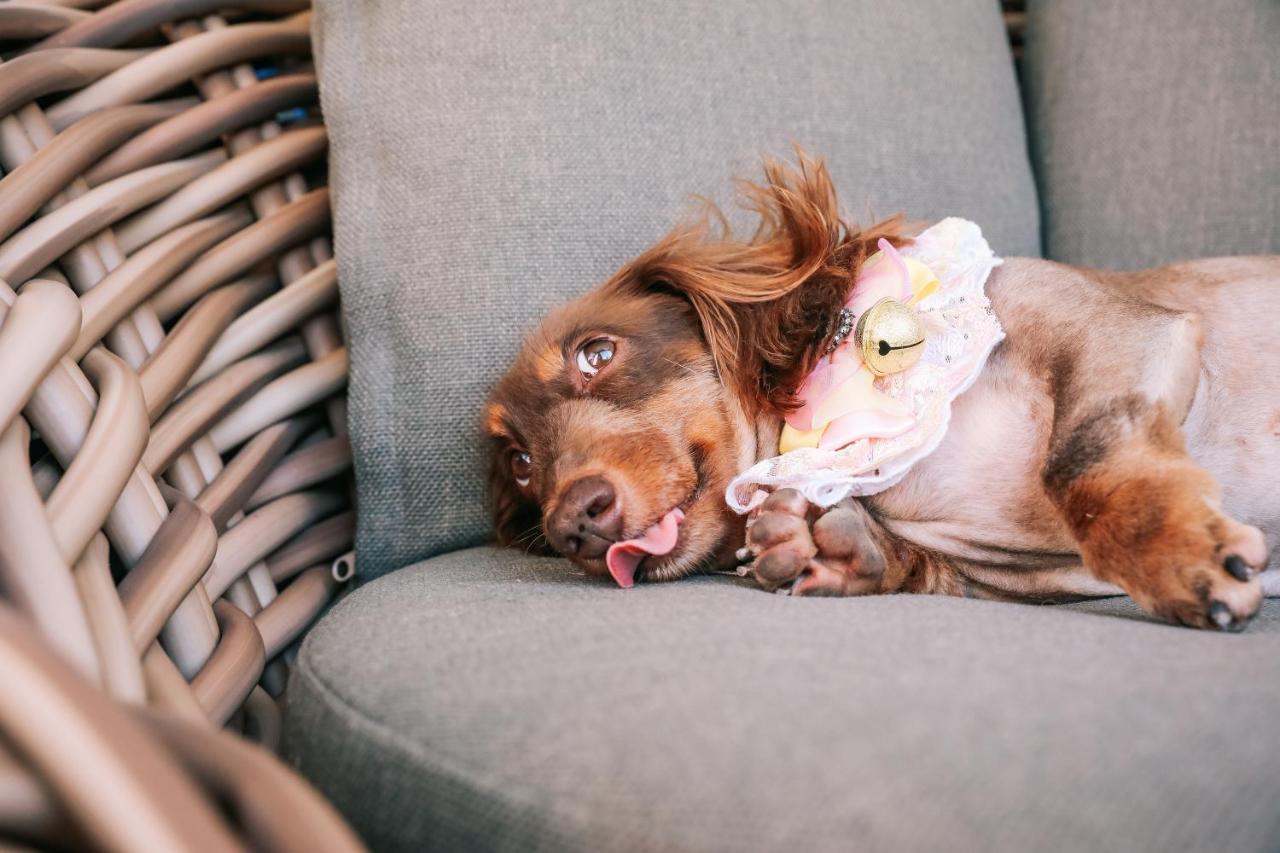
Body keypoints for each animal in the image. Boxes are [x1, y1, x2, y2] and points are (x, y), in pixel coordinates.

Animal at [481, 153, 1280, 627]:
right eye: (520, 465)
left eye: (597, 353)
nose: (573, 524)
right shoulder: (1008, 576)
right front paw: (826, 547)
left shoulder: (1121, 331)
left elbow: (1082, 461)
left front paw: (1176, 552)